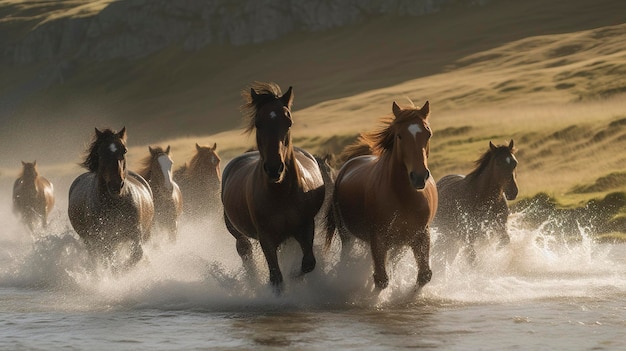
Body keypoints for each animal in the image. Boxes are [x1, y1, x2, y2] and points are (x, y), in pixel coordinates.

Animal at [67, 128, 154, 268]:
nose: (116, 185)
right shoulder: (103, 240)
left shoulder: (135, 234)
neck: (114, 203)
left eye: (124, 150)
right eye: (100, 152)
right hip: (89, 242)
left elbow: (136, 255)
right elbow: (109, 260)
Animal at [221, 82, 326, 292]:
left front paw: (294, 276)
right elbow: (276, 277)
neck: (281, 194)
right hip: (238, 233)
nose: (274, 168)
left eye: (289, 122)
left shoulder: (305, 227)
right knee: (245, 251)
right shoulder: (266, 238)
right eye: (258, 123)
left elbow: (308, 264)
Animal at [324, 100, 436, 290]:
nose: (419, 176)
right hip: (346, 235)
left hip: (399, 245)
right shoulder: (377, 239)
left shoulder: (420, 235)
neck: (403, 197)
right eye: (399, 136)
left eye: (428, 134)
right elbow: (381, 279)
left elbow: (424, 275)